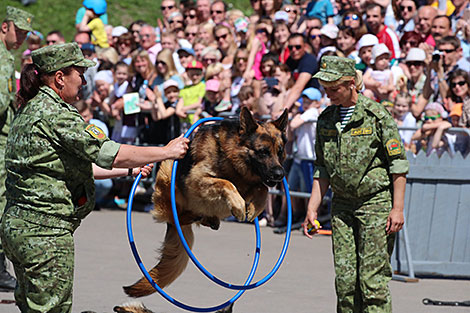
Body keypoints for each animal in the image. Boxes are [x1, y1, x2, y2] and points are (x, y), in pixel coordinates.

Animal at [123, 107, 288, 298]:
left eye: (280, 151)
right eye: (263, 152)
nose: (280, 175)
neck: (231, 156)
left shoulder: (253, 183)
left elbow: (263, 189)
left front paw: (254, 208)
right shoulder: (196, 179)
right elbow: (226, 183)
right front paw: (239, 206)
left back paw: (210, 219)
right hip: (168, 168)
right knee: (177, 216)